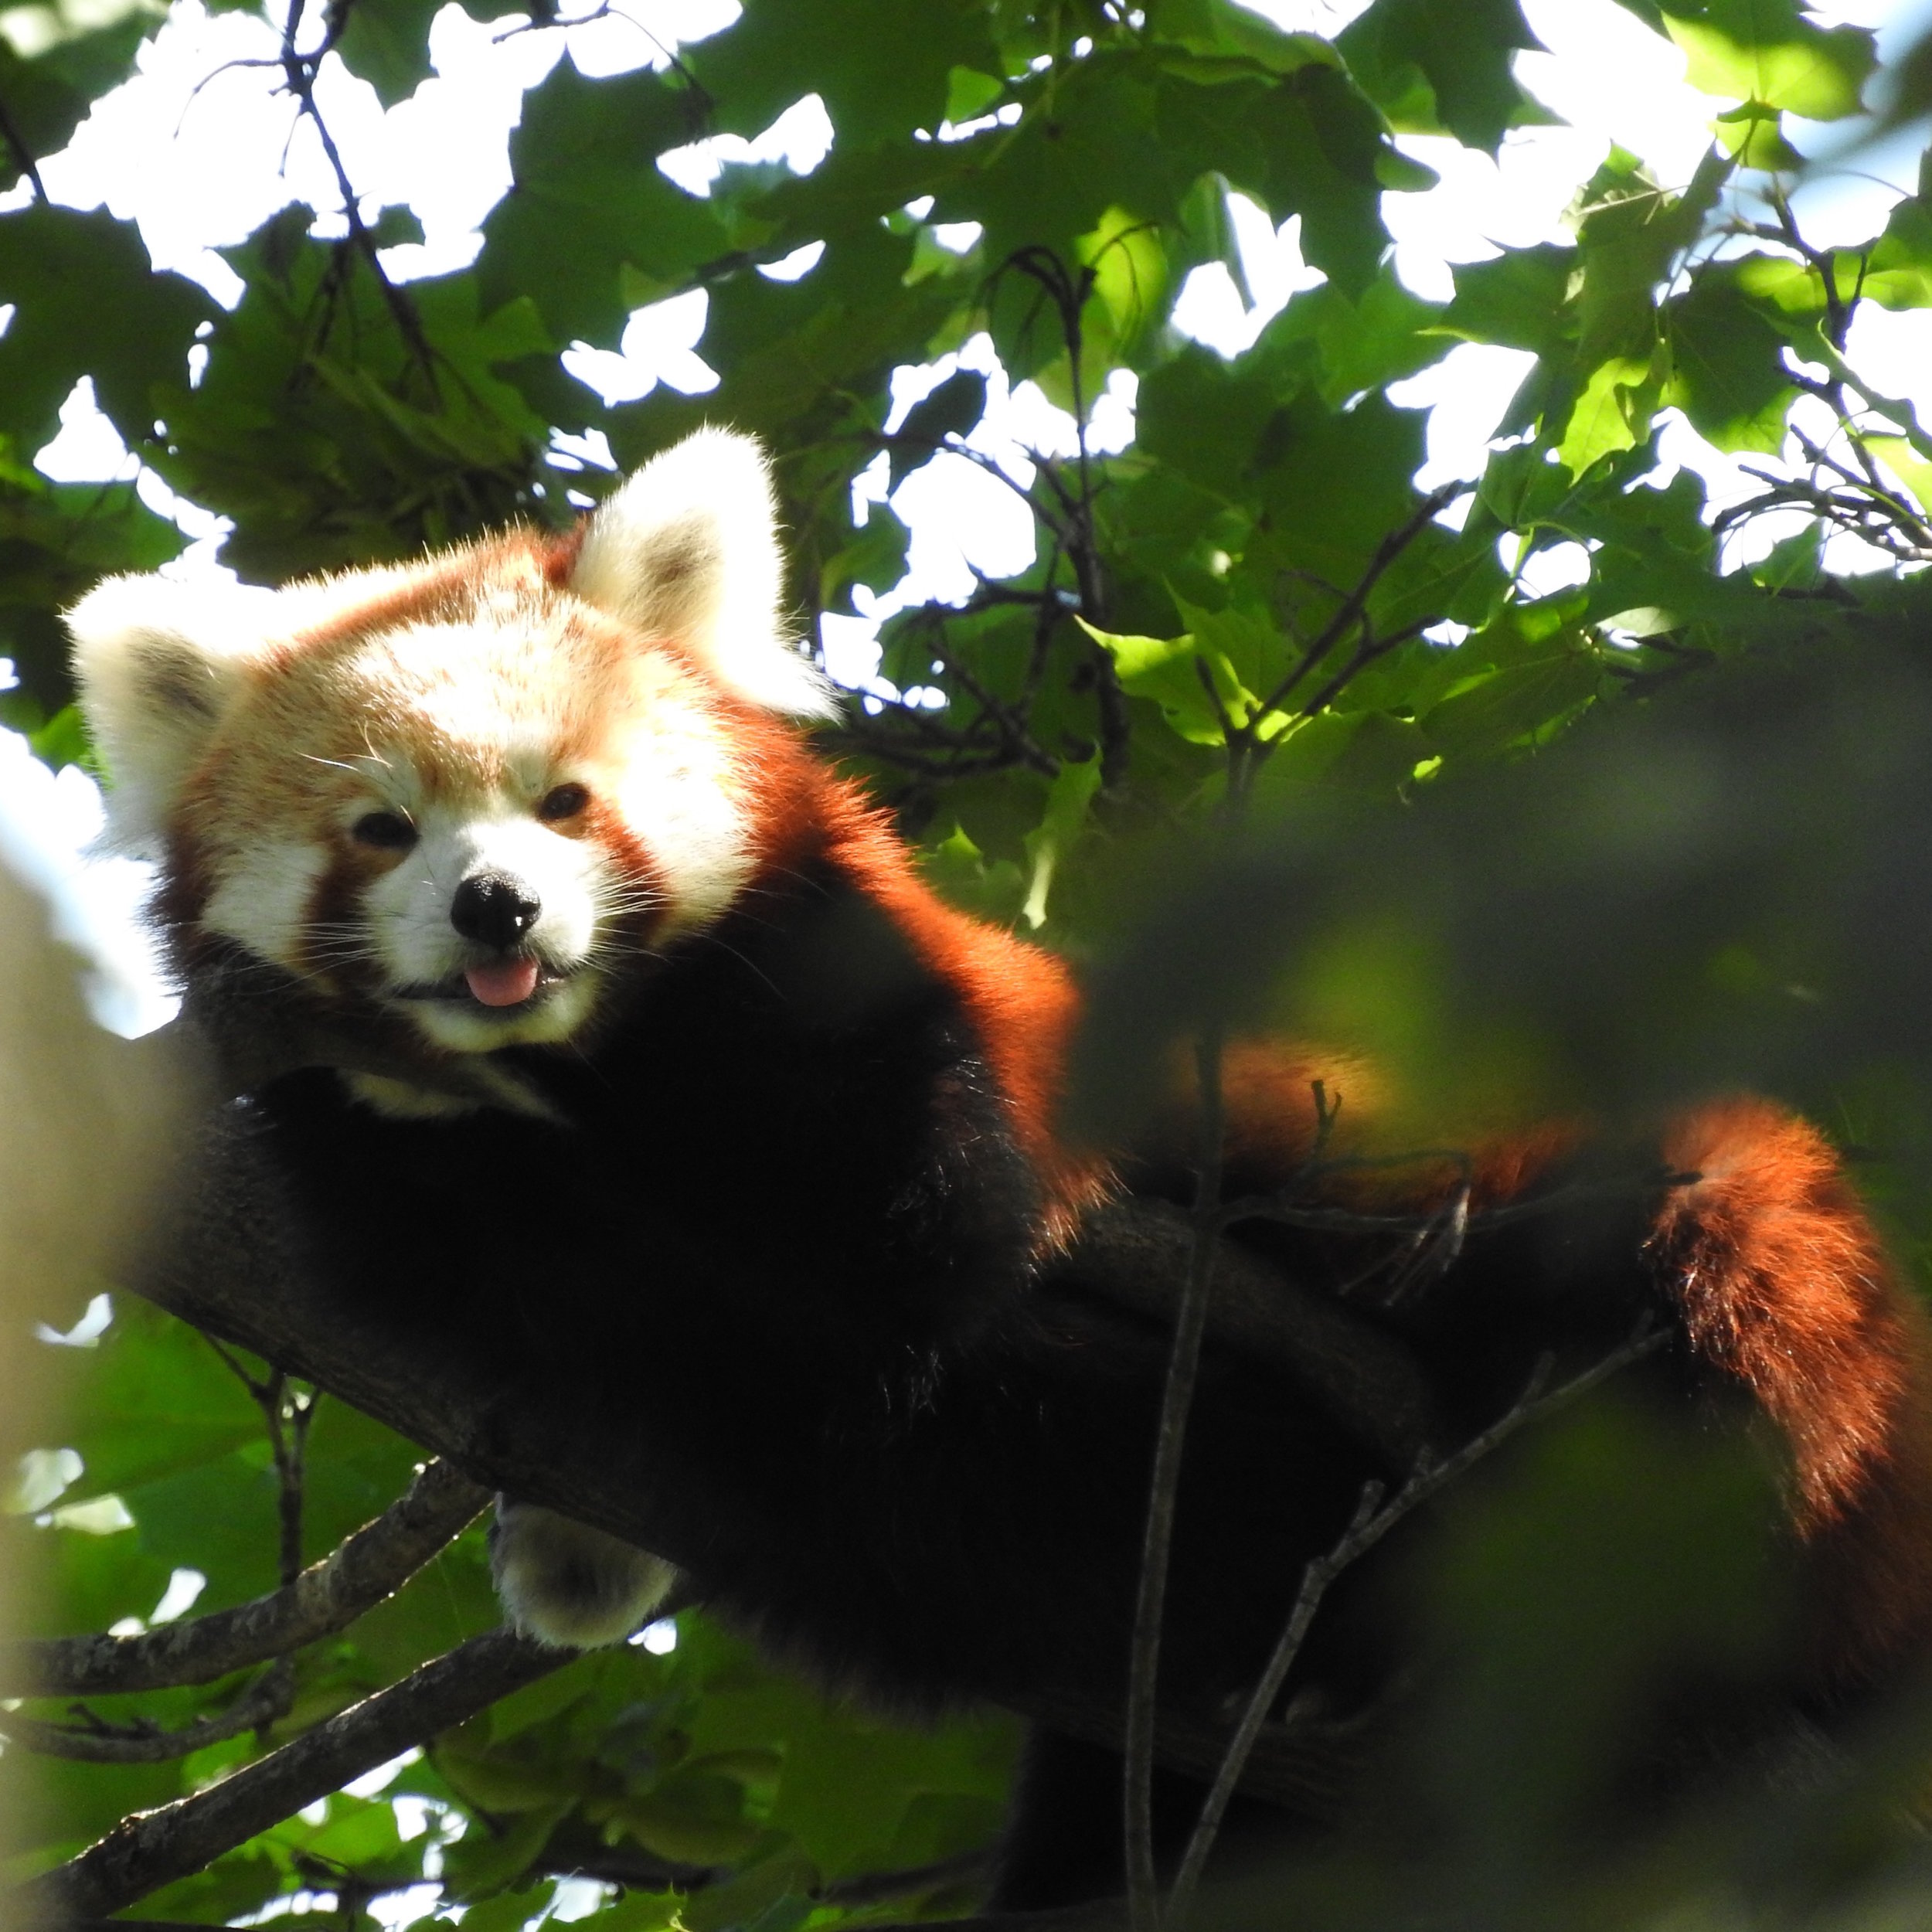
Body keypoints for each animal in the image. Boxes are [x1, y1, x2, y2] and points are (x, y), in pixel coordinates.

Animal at [71, 434, 1932, 1901]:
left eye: (566, 799)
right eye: (382, 828)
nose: (494, 910)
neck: (591, 1074)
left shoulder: (917, 1046)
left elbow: (900, 1244)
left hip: (1734, 1278)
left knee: (1692, 1291)